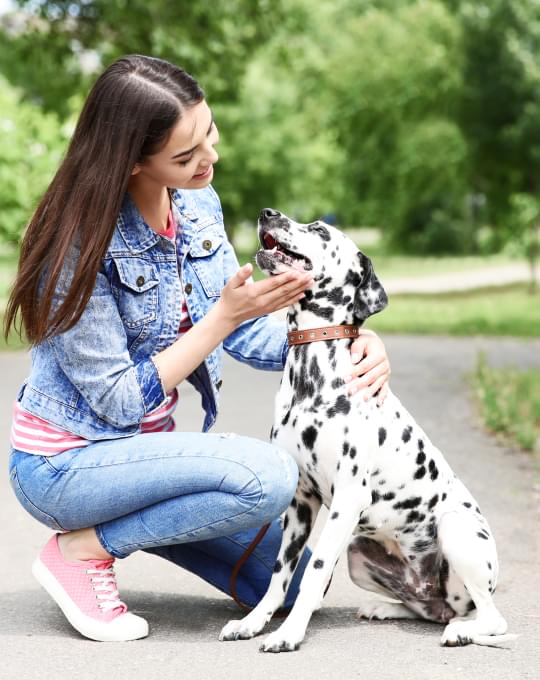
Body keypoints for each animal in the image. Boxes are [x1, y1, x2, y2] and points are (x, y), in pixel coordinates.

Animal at [219, 208, 514, 652]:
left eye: (319, 229)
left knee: (490, 618)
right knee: (429, 609)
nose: (268, 213)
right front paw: (252, 622)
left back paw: (462, 631)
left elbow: (313, 572)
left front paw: (289, 633)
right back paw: (385, 608)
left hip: (453, 531)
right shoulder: (301, 503)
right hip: (360, 553)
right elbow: (279, 575)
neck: (311, 377)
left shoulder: (346, 498)